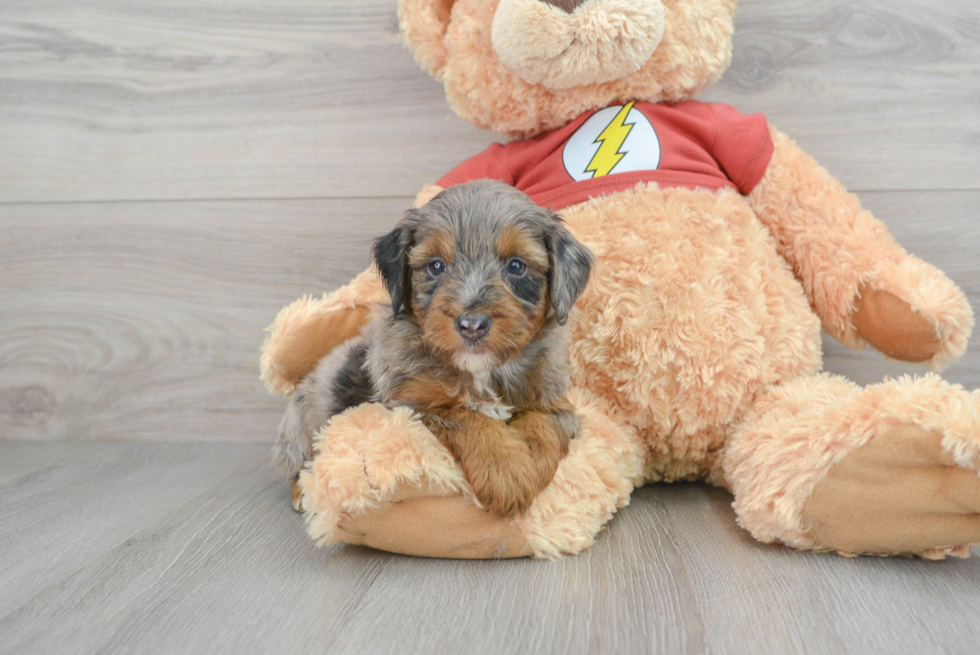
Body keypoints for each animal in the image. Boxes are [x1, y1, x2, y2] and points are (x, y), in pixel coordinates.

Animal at [276, 179, 596, 516]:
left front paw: (532, 461)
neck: (482, 371)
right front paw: (506, 469)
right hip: (299, 428)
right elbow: (468, 417)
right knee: (301, 464)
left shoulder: (556, 401)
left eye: (516, 266)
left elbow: (543, 421)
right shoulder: (411, 407)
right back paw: (302, 492)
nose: (471, 325)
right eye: (437, 266)